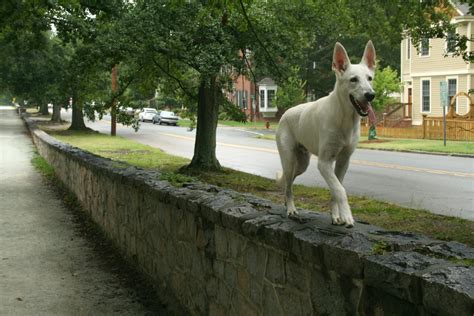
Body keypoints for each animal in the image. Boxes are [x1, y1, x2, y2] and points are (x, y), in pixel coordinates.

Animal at [276, 40, 376, 227]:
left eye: (370, 78)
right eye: (353, 79)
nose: (371, 95)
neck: (345, 118)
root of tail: (285, 114)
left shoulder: (343, 161)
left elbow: (336, 190)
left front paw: (336, 216)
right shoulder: (324, 162)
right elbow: (340, 190)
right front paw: (347, 216)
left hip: (302, 164)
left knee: (288, 182)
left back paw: (287, 204)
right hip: (289, 160)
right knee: (288, 184)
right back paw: (291, 209)